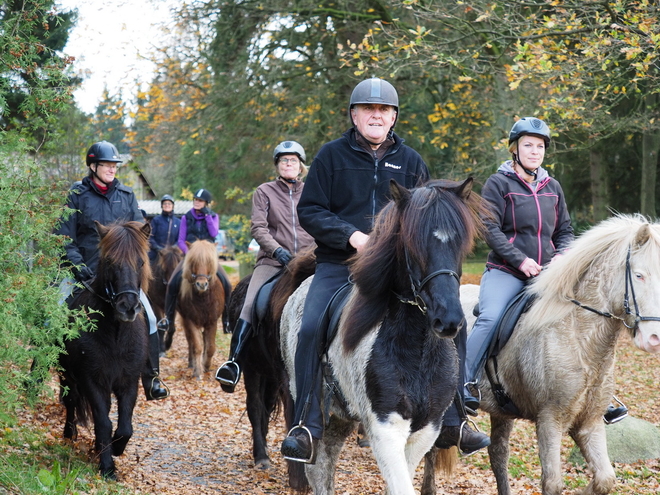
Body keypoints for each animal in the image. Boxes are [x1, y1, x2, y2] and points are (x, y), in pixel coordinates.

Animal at [59, 221, 152, 480]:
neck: (116, 335)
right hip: (66, 374)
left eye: (140, 262)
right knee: (70, 400)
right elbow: (103, 422)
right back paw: (70, 433)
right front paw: (107, 467)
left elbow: (125, 427)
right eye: (110, 261)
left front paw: (116, 449)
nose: (128, 307)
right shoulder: (92, 380)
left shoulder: (128, 382)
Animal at [175, 240, 227, 380]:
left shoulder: (212, 321)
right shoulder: (191, 321)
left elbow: (210, 347)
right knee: (190, 341)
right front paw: (198, 372)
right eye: (193, 262)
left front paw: (206, 366)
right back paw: (191, 363)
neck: (203, 298)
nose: (202, 284)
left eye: (209, 262)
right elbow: (197, 346)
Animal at [282, 180, 488, 495]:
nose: (449, 320)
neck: (417, 351)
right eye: (414, 245)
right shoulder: (385, 429)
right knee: (316, 467)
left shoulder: (426, 429)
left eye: (459, 245)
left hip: (341, 417)